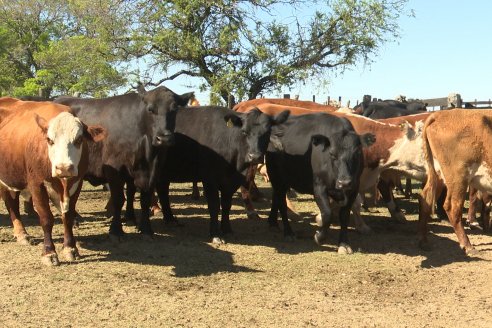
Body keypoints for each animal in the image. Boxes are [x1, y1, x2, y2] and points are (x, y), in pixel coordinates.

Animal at [156, 105, 290, 243]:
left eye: (267, 133)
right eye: (244, 132)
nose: (255, 156)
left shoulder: (232, 182)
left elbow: (226, 205)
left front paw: (227, 230)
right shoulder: (209, 179)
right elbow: (214, 205)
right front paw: (215, 234)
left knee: (162, 191)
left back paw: (170, 219)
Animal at [266, 113, 372, 254]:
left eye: (357, 153)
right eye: (332, 154)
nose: (344, 182)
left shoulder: (354, 188)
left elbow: (344, 216)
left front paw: (344, 243)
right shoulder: (319, 187)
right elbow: (327, 213)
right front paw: (320, 237)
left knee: (276, 198)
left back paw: (272, 222)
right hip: (277, 178)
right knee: (282, 203)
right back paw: (288, 233)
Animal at [418, 109, 492, 255]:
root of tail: (438, 114)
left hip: (439, 175)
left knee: (426, 199)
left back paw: (424, 241)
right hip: (458, 177)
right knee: (452, 207)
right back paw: (467, 245)